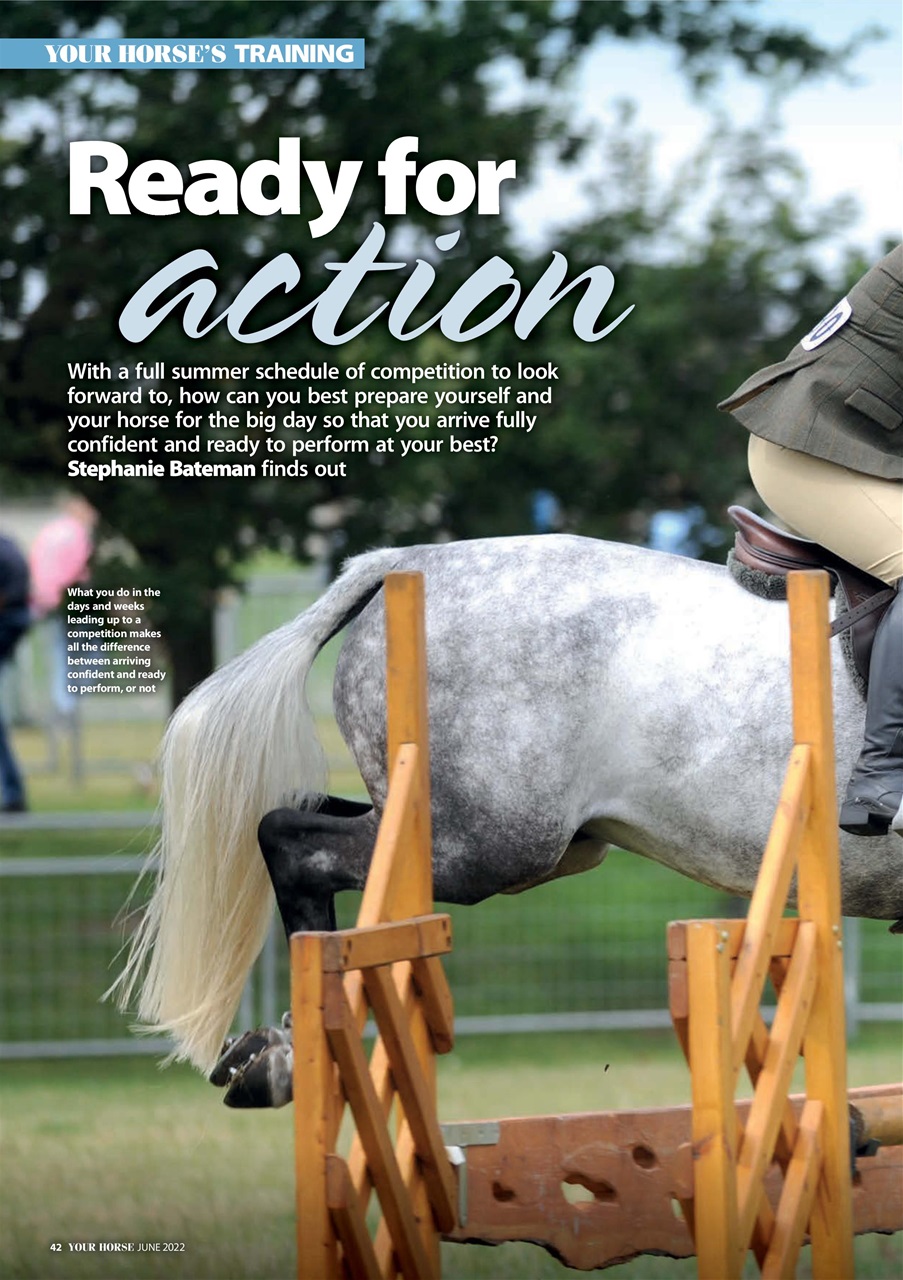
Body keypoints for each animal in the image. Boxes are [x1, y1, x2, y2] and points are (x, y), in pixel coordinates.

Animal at [112, 534, 902, 1104]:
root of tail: (398, 563)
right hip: (488, 843)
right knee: (289, 840)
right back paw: (289, 1057)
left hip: (496, 834)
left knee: (306, 828)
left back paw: (279, 1052)